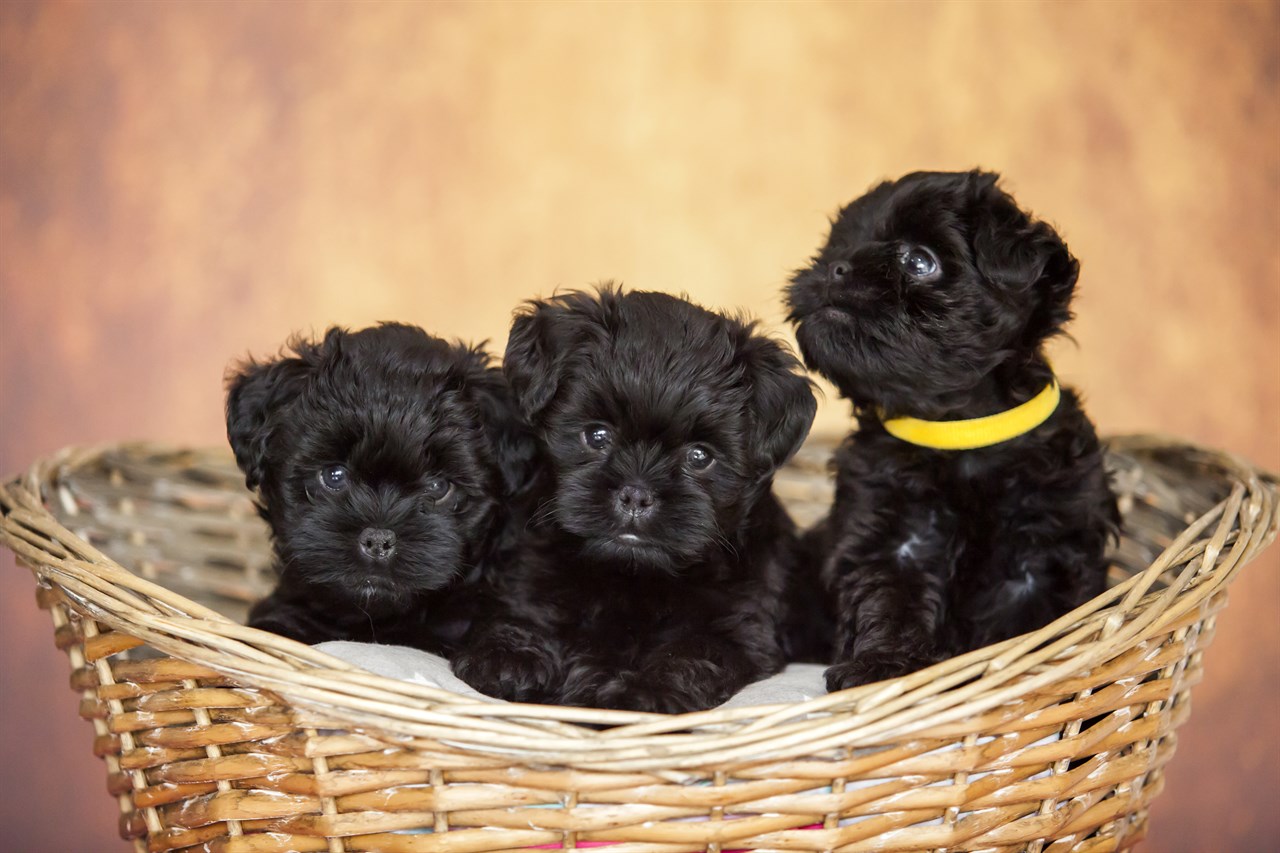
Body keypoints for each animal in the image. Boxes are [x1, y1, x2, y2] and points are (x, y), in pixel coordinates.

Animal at [455, 285, 814, 712]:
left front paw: (645, 692)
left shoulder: (739, 631)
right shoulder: (524, 581)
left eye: (700, 457)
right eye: (596, 436)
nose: (636, 494)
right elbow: (517, 618)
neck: (631, 576)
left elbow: (690, 655)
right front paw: (510, 658)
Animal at [783, 169, 1116, 686]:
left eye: (920, 261)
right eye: (834, 246)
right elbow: (888, 602)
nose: (836, 267)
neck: (959, 433)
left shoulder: (1045, 557)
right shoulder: (894, 541)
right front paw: (883, 666)